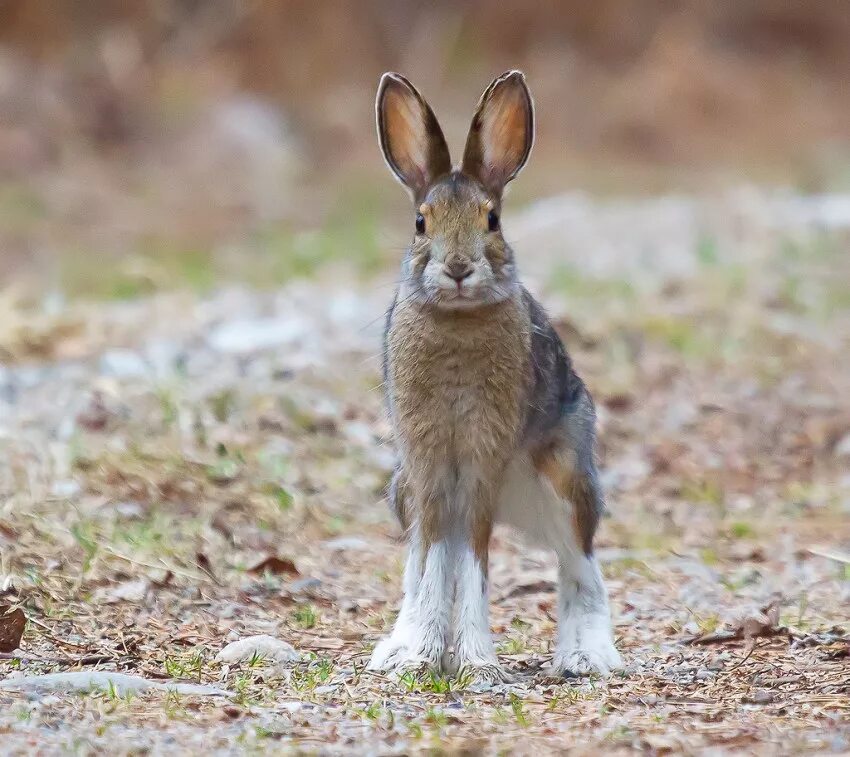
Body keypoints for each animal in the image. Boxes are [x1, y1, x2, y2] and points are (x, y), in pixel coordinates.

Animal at [368, 70, 622, 682]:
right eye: (420, 223)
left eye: (493, 219)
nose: (458, 269)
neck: (458, 320)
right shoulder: (430, 465)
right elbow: (438, 561)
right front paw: (423, 658)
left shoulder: (483, 458)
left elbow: (475, 564)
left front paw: (477, 664)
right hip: (403, 490)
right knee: (418, 561)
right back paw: (395, 649)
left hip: (567, 480)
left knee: (581, 568)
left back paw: (588, 657)